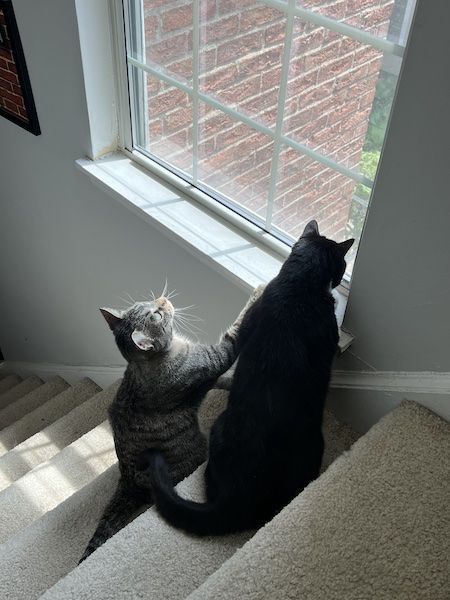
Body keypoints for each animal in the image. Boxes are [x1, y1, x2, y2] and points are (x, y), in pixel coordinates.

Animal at [79, 288, 258, 560]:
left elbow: (224, 380)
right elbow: (238, 327)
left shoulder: (209, 375)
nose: (162, 299)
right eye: (156, 314)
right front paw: (260, 290)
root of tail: (128, 481)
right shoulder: (216, 358)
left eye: (147, 302)